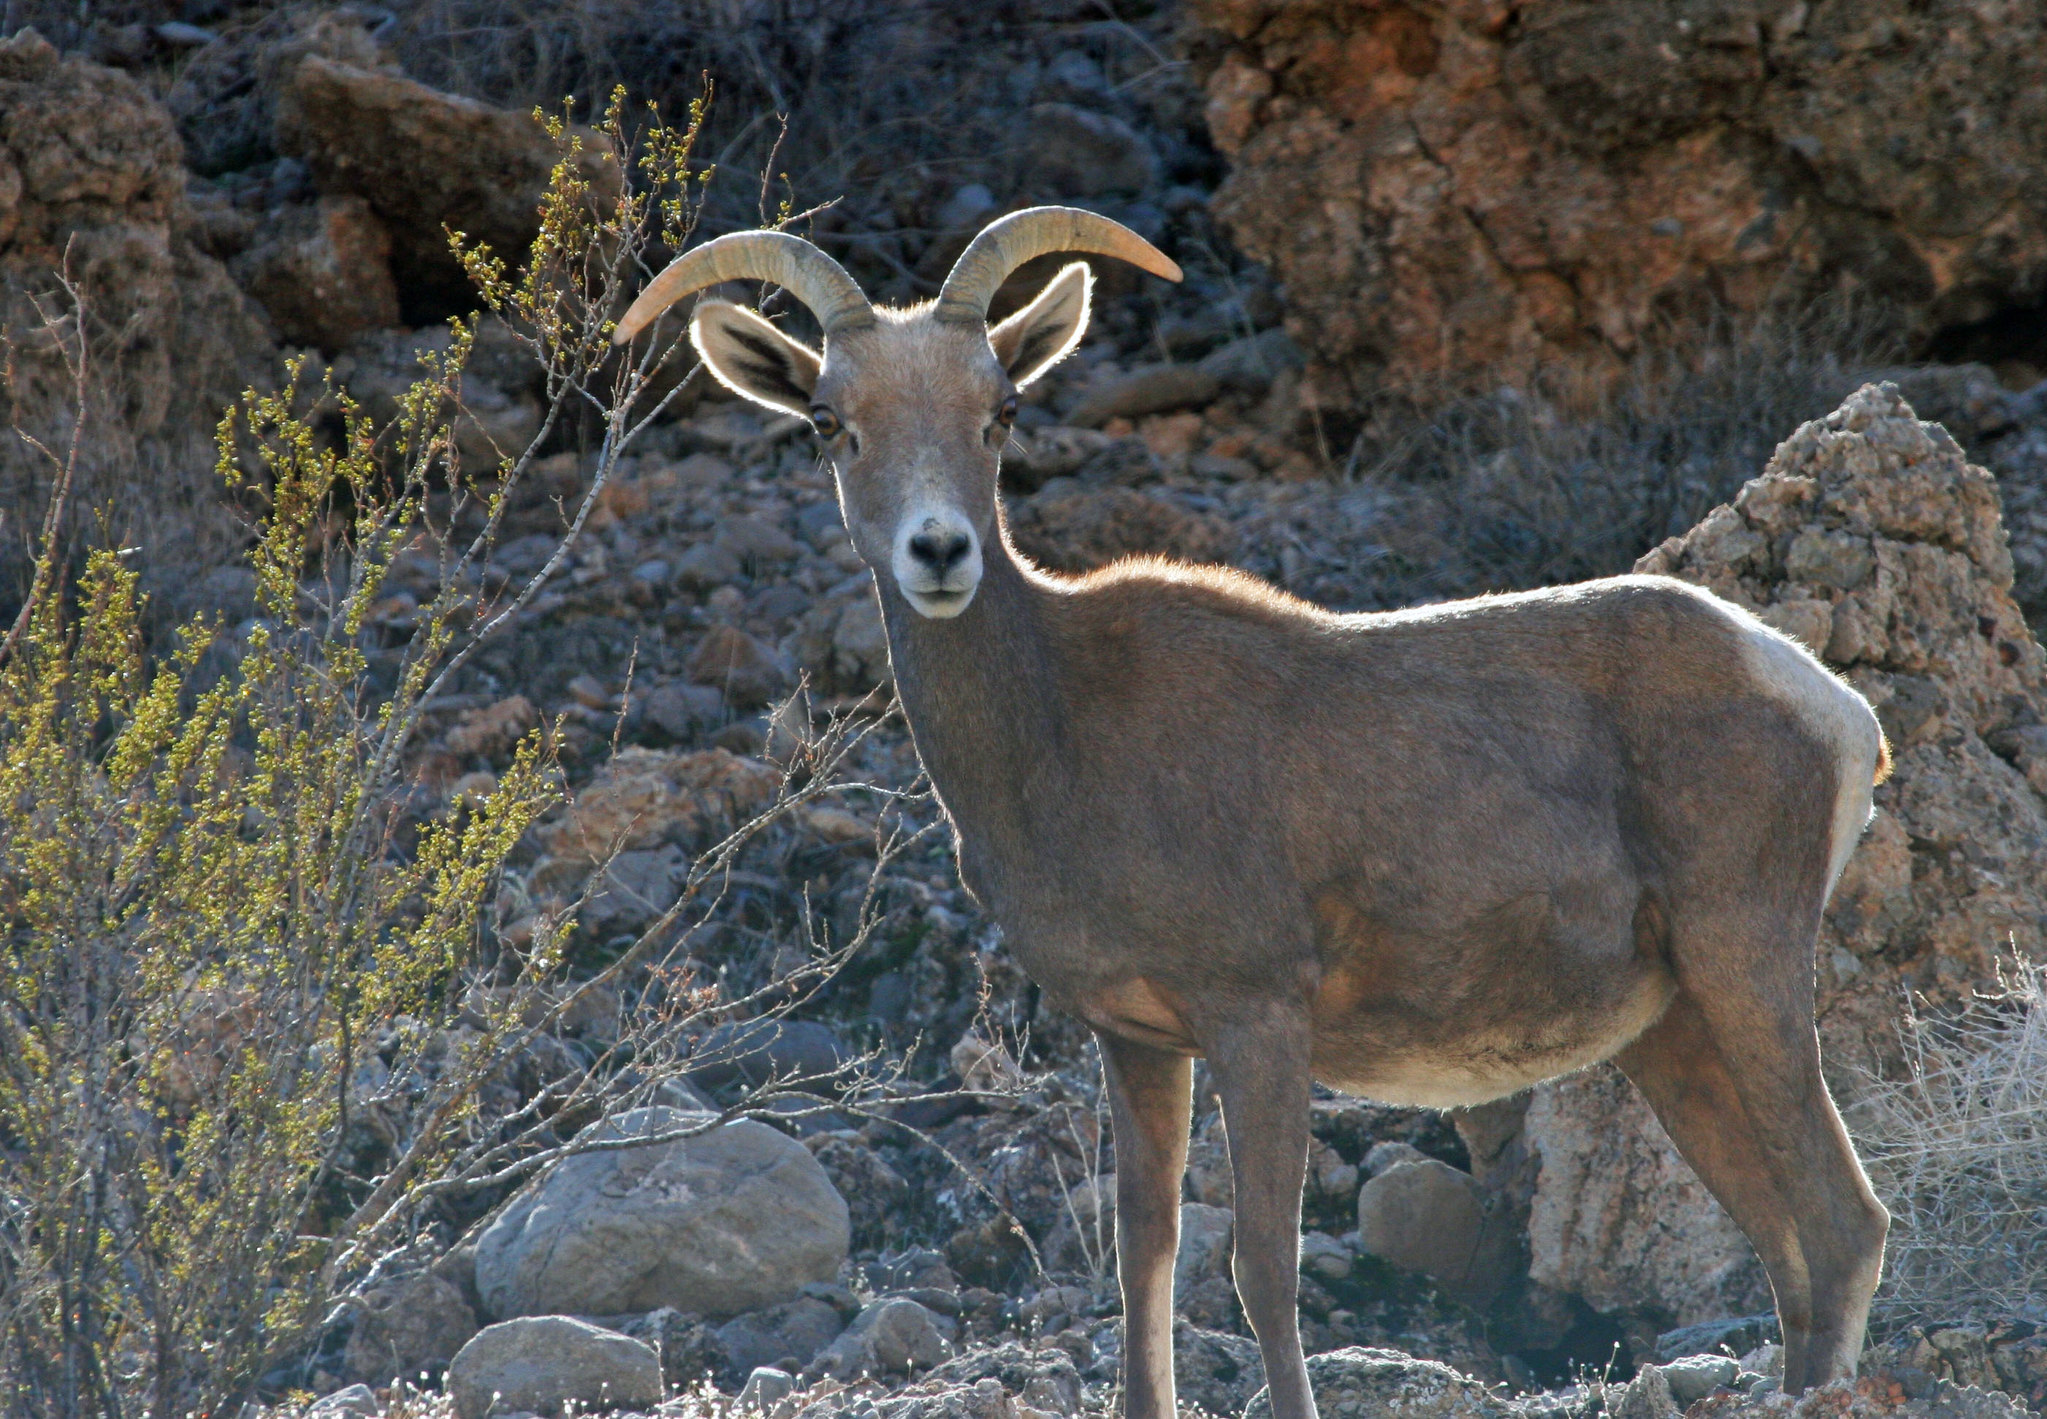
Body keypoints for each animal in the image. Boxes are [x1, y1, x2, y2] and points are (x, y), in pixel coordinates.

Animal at [614, 204, 1891, 1408]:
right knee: (1786, 1249)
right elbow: (1145, 1260)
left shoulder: (1259, 1023)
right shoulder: (1135, 1040)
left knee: (1843, 1227)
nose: (939, 552)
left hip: (1744, 971)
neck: (1061, 729)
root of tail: (1825, 706)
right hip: (1672, 1033)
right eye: (830, 421)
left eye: (1000, 410)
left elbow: (1262, 1271)